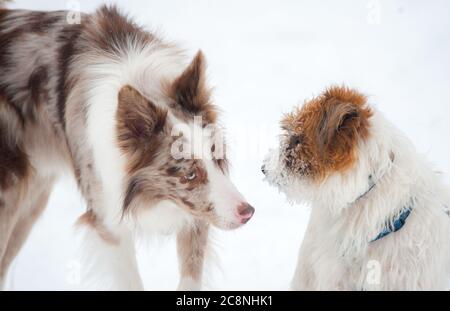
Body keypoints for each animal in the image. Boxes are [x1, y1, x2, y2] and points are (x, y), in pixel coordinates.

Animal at [0, 3, 253, 290]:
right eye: (189, 174)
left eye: (218, 159)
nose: (248, 212)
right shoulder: (109, 222)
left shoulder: (195, 211)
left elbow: (190, 274)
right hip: (10, 195)